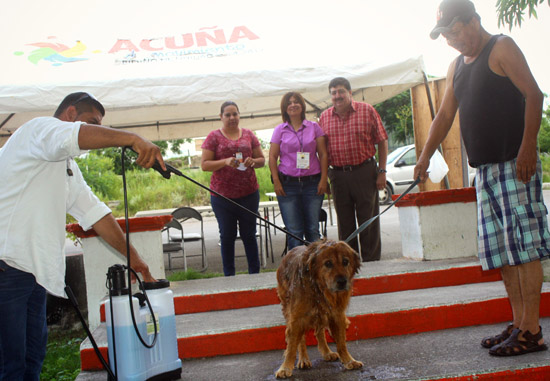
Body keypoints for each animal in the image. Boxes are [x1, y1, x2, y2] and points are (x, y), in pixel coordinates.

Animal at [274, 239, 362, 376]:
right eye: (328, 263)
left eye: (345, 262)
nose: (342, 282)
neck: (319, 290)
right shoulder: (296, 319)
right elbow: (292, 346)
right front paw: (285, 368)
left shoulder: (337, 315)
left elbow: (341, 343)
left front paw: (349, 360)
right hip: (289, 309)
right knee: (301, 339)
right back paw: (304, 359)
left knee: (319, 332)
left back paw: (327, 352)